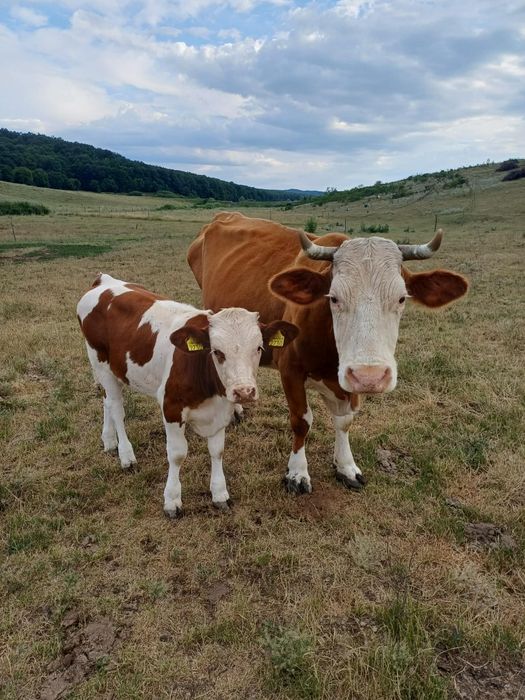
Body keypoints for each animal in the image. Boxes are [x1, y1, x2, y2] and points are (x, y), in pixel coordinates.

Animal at [77, 273, 298, 516]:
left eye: (258, 348)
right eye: (217, 352)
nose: (244, 391)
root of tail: (104, 280)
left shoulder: (222, 409)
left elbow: (217, 451)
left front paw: (219, 493)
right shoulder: (171, 407)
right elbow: (177, 454)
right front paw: (172, 500)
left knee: (107, 401)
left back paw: (109, 440)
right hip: (100, 361)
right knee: (116, 408)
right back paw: (126, 455)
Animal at [187, 212, 468, 494]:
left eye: (401, 299)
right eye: (333, 297)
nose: (371, 376)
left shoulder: (347, 378)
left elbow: (344, 421)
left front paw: (345, 466)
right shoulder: (290, 370)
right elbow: (301, 420)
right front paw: (297, 473)